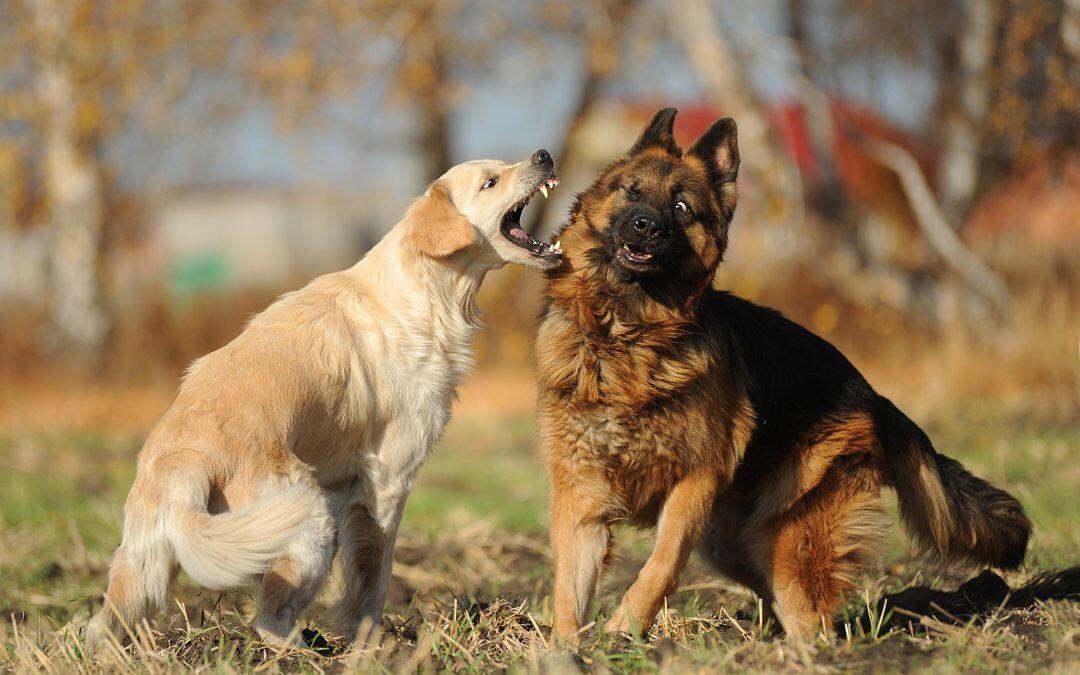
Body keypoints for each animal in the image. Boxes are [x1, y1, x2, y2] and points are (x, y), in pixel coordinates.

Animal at [86, 149, 565, 648]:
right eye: (490, 181)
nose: (544, 155)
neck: (421, 291)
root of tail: (183, 460)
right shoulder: (388, 481)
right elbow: (373, 577)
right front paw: (370, 643)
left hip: (145, 566)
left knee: (102, 624)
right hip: (307, 523)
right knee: (270, 618)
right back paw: (307, 653)